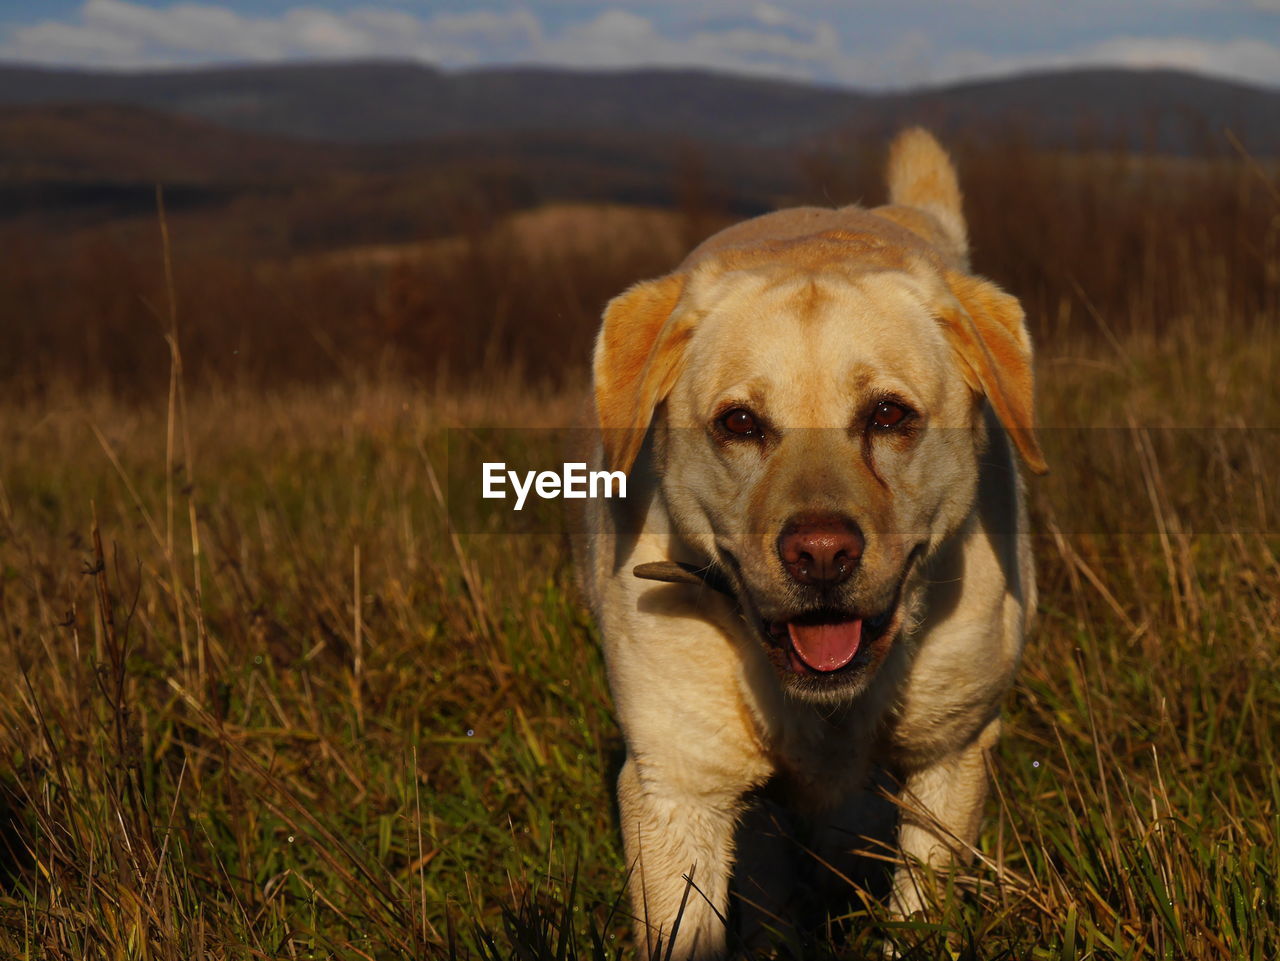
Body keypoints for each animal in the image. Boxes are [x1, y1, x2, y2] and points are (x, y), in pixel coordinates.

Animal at [576, 129, 1044, 961]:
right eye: (739, 422)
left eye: (889, 414)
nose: (821, 553)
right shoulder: (676, 785)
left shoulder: (950, 756)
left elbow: (920, 912)